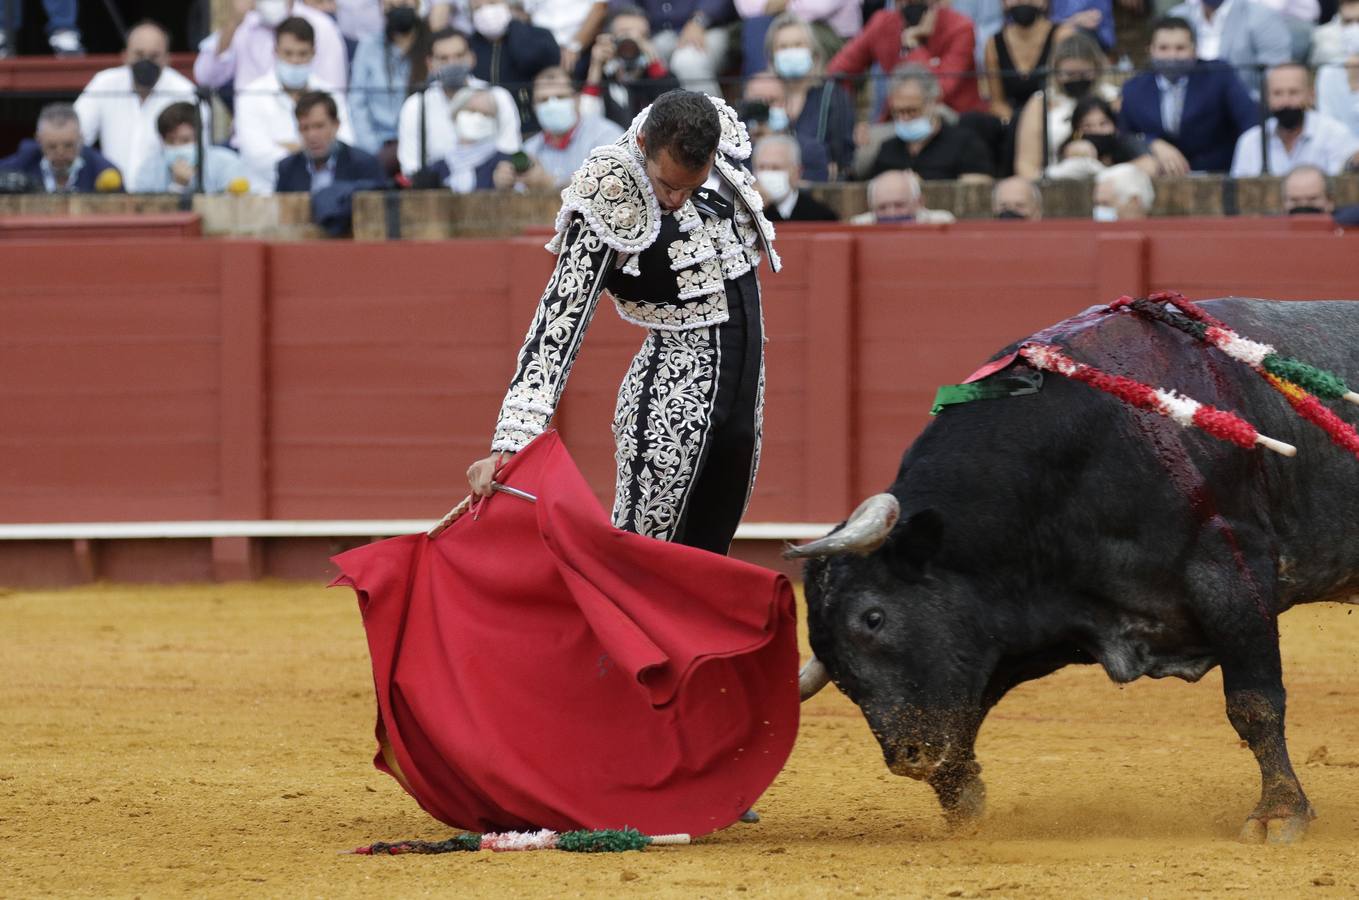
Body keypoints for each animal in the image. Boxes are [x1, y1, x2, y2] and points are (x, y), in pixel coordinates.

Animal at [793, 301, 1359, 848]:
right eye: (826, 655)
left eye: (872, 618)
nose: (908, 756)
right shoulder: (1033, 620)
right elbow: (968, 709)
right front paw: (962, 800)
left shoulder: (1233, 571)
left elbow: (1254, 704)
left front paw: (1278, 814)